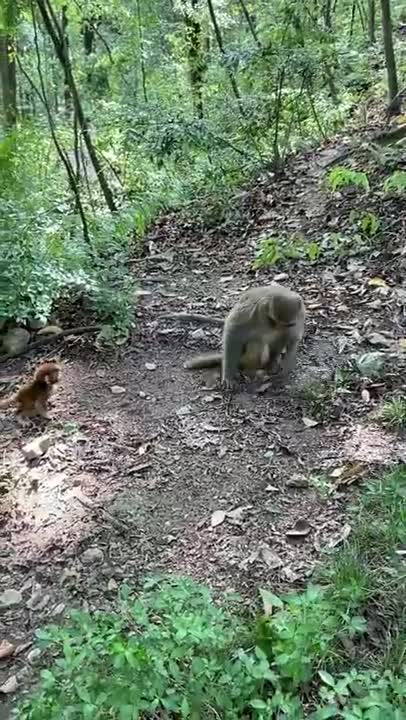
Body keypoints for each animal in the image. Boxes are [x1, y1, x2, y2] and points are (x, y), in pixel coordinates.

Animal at [162, 284, 305, 389]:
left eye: (289, 324)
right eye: (272, 321)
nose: (278, 327)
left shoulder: (299, 317)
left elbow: (292, 339)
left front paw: (285, 371)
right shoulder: (252, 311)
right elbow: (233, 331)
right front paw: (228, 375)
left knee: (280, 338)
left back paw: (271, 363)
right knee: (256, 342)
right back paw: (251, 370)